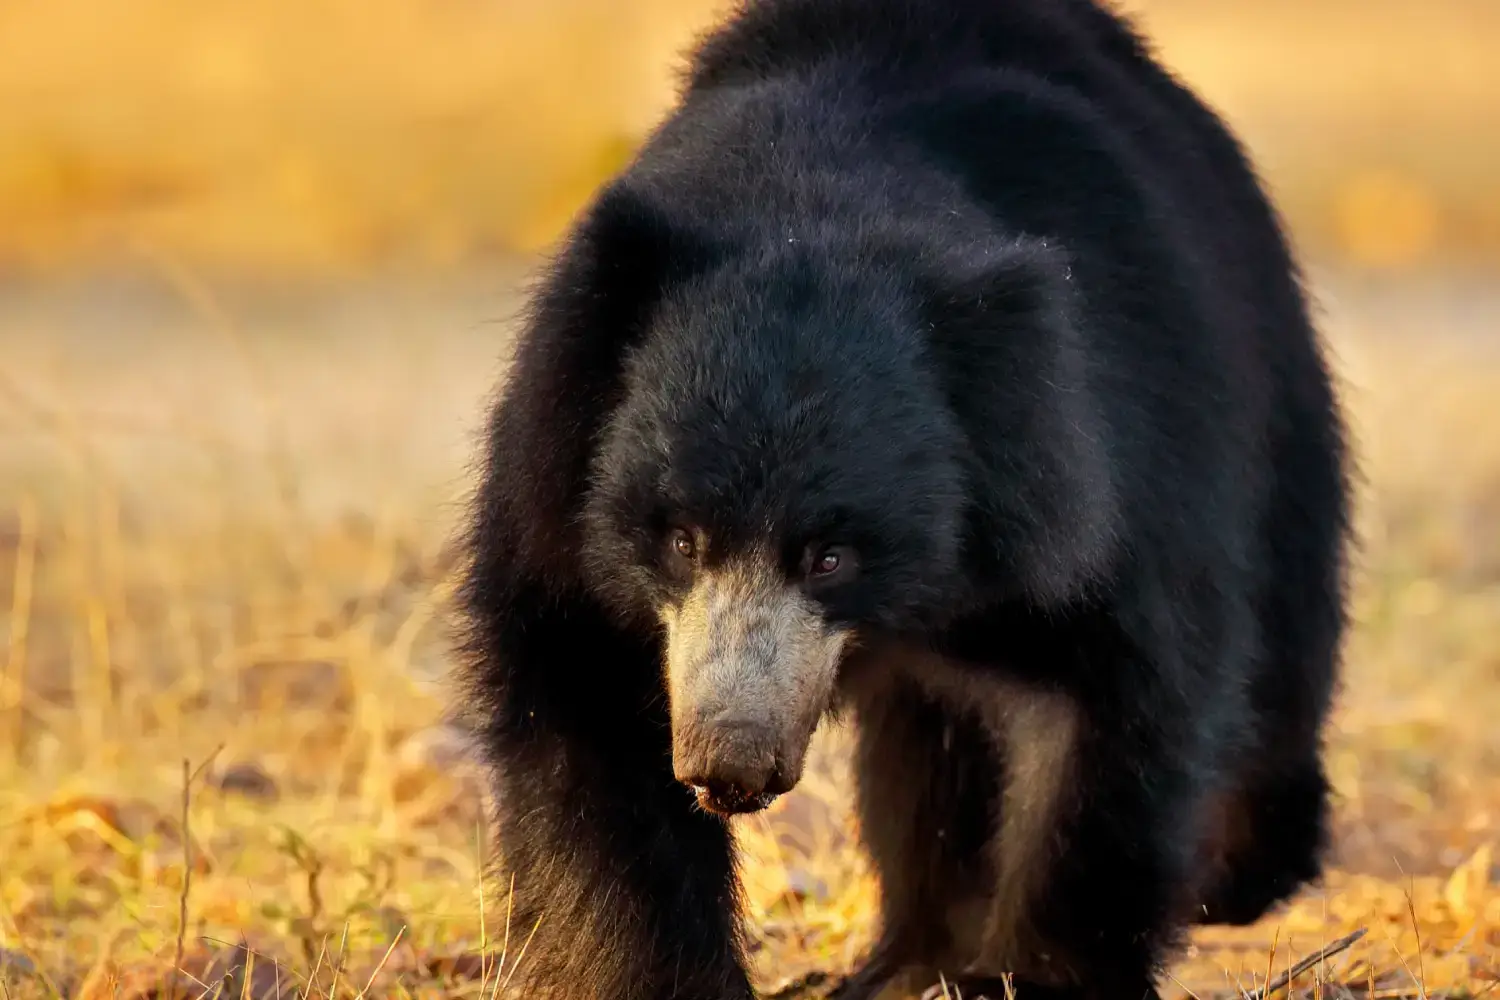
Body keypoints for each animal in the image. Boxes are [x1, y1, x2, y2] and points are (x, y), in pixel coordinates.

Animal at [453, 1, 1350, 1000]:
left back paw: (1239, 874)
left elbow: (1117, 697)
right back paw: (910, 959)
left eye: (832, 557)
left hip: (1276, 404)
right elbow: (587, 719)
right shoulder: (558, 484)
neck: (819, 200)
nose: (729, 761)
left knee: (1280, 658)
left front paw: (1034, 977)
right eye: (680, 539)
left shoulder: (1111, 451)